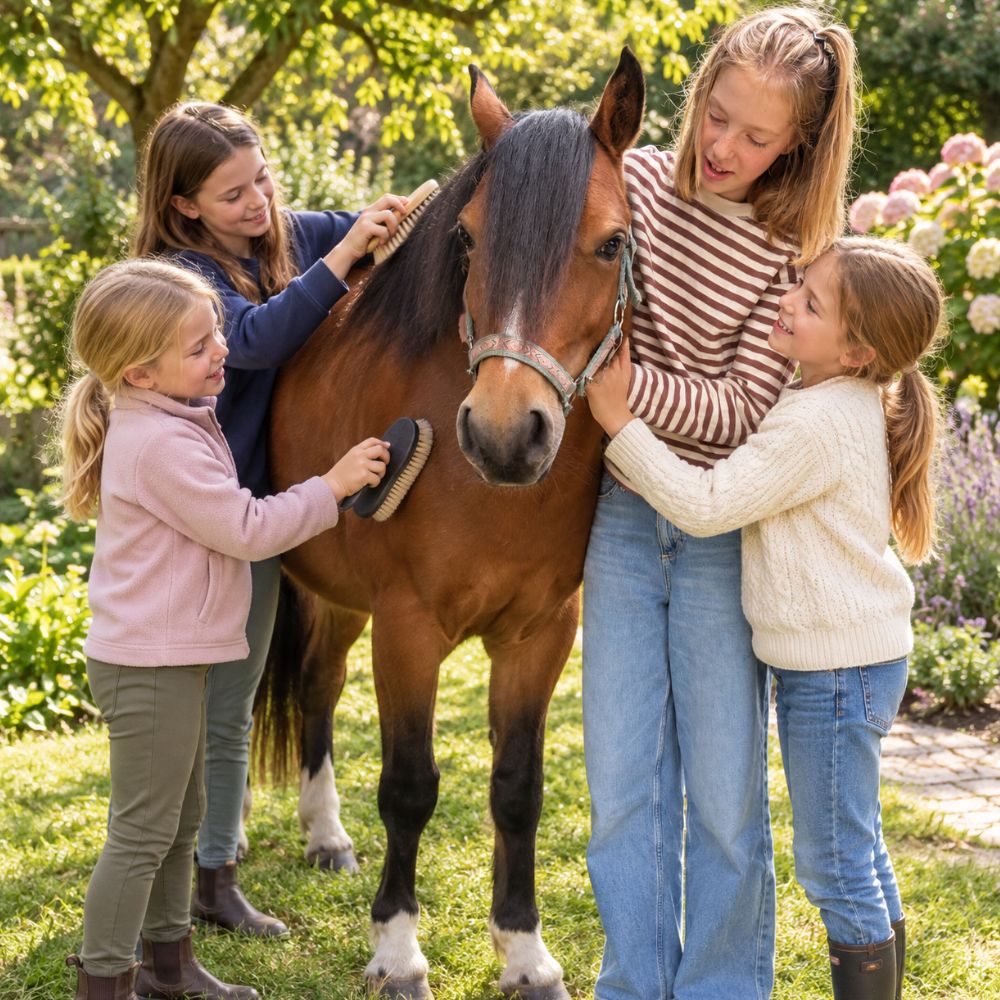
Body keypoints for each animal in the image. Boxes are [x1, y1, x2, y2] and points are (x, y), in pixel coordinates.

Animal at [260, 50, 645, 999]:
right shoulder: (407, 628)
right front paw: (398, 950)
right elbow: (409, 786)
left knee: (317, 687)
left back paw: (326, 835)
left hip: (335, 599)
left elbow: (517, 788)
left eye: (612, 243)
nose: (505, 434)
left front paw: (525, 952)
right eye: (467, 239)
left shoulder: (541, 635)